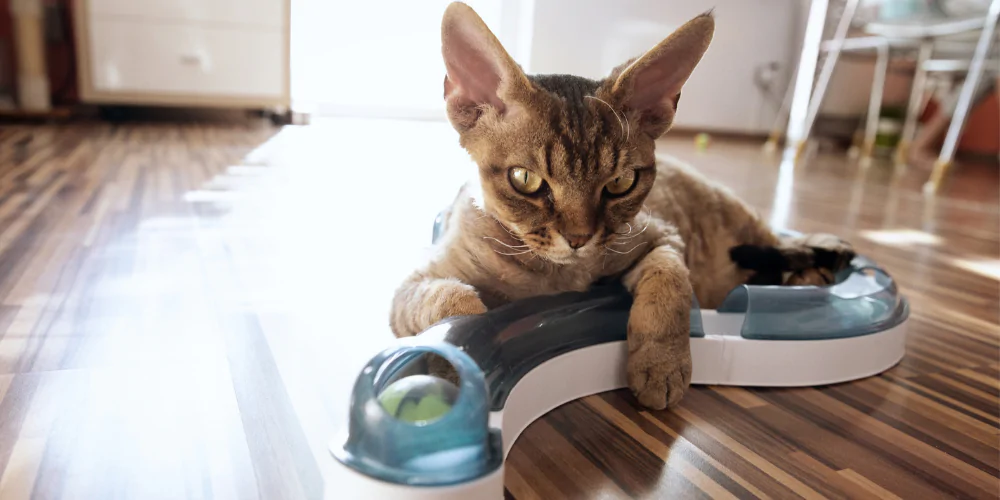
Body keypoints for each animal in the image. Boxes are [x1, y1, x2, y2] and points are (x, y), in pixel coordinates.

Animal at [388, 1, 852, 410]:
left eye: (621, 183)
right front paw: (450, 367)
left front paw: (661, 366)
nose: (578, 238)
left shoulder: (660, 235)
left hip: (737, 220)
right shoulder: (410, 287)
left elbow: (670, 283)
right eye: (525, 180)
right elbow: (455, 305)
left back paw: (813, 266)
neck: (556, 276)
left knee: (782, 243)